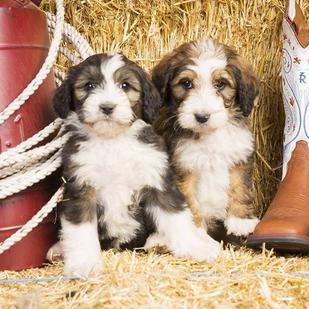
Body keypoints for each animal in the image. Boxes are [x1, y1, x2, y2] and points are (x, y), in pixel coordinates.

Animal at [53, 53, 221, 276]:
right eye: (89, 85)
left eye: (125, 85)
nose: (107, 107)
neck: (113, 141)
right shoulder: (81, 188)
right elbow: (81, 231)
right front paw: (85, 264)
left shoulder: (157, 180)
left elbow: (177, 218)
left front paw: (196, 247)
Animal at [152, 39, 260, 238]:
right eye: (186, 83)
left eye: (220, 84)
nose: (201, 117)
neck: (210, 135)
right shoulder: (182, 167)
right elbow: (189, 201)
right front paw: (195, 232)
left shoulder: (239, 157)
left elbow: (240, 187)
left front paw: (240, 220)